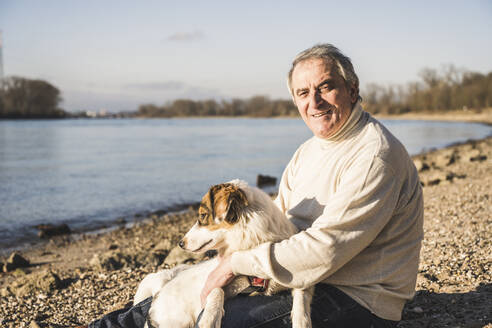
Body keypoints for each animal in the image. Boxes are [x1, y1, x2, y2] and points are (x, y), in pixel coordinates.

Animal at [133, 179, 314, 328]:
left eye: (202, 215)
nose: (180, 243)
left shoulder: (299, 275)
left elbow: (302, 294)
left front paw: (301, 321)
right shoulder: (218, 281)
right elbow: (216, 290)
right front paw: (209, 319)